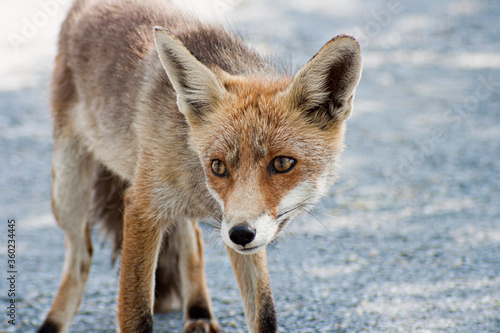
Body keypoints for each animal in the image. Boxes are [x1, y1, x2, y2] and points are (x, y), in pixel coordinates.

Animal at [38, 0, 360, 330]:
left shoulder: (233, 224)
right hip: (67, 190)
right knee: (80, 255)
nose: (241, 234)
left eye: (282, 163)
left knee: (190, 241)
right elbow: (136, 314)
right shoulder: (142, 207)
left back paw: (198, 311)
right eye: (217, 166)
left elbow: (264, 313)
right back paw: (53, 322)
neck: (197, 181)